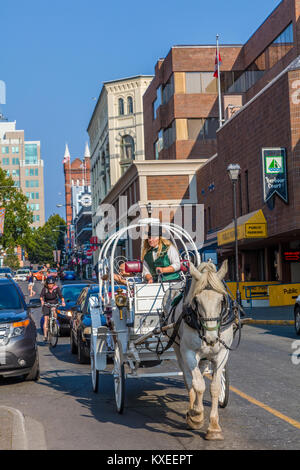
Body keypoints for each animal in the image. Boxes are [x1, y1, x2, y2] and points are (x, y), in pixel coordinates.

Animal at [163, 258, 233, 438]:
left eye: (221, 300)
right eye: (197, 301)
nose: (211, 338)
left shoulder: (222, 354)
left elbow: (215, 387)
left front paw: (214, 427)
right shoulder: (188, 352)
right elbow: (198, 384)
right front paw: (196, 416)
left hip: (205, 357)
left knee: (199, 374)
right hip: (177, 348)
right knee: (189, 379)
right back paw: (192, 410)